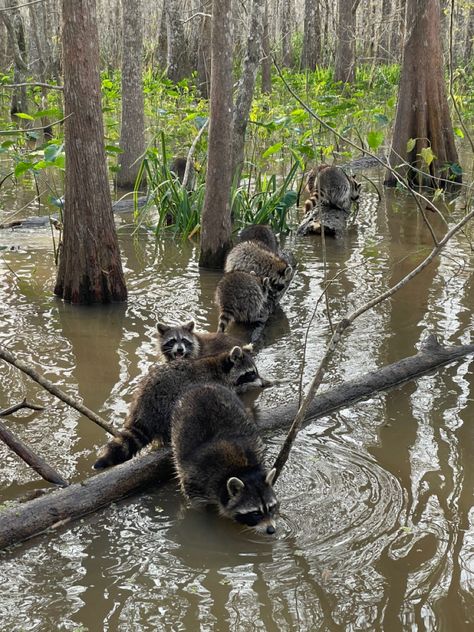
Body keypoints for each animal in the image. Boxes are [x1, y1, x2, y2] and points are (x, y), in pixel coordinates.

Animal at [92, 346, 262, 470]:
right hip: (166, 404)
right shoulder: (212, 387)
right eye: (251, 373)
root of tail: (142, 412)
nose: (262, 383)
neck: (219, 367)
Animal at [172, 382, 280, 536]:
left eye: (271, 508)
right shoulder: (197, 479)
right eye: (255, 513)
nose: (271, 530)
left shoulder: (255, 451)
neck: (241, 470)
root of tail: (203, 385)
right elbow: (197, 504)